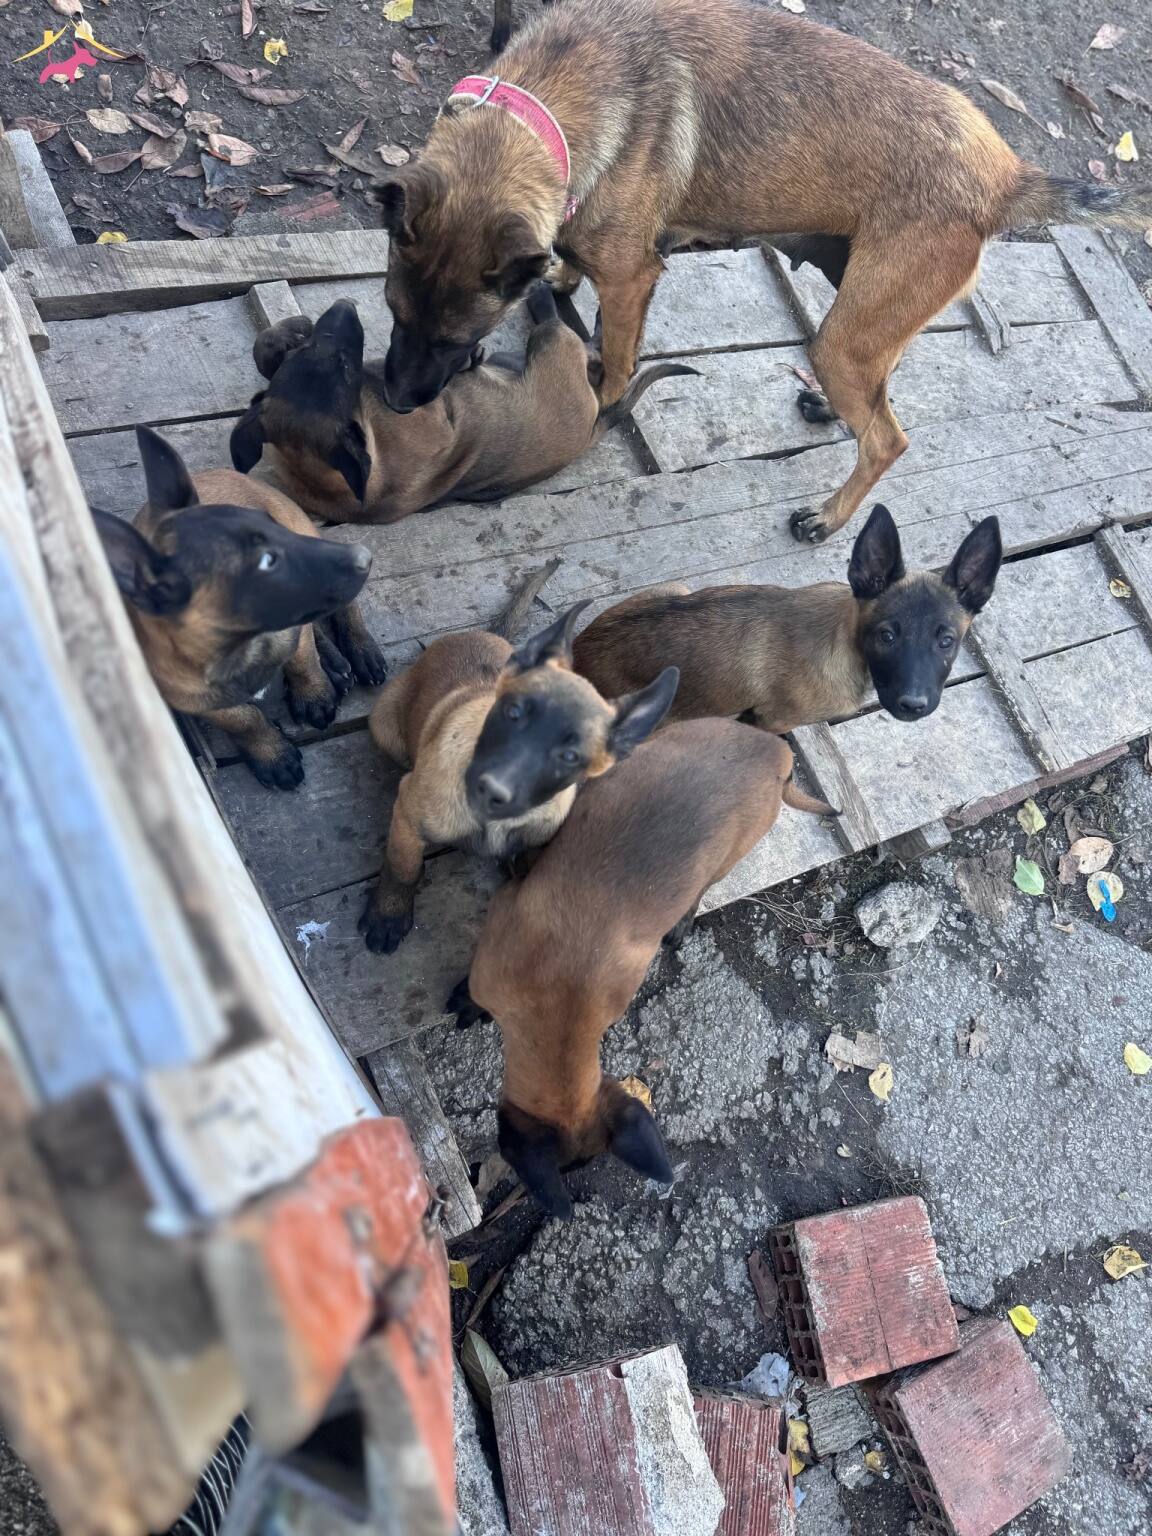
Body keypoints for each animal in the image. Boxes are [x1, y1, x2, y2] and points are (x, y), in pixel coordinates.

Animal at [93, 426, 385, 789]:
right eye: (265, 561)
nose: (363, 558)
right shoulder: (196, 700)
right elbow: (243, 719)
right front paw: (271, 754)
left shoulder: (293, 630)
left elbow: (303, 662)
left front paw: (314, 696)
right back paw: (336, 664)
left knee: (339, 613)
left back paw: (360, 653)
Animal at [229, 290, 694, 524]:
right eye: (342, 364)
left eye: (328, 353)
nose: (343, 308)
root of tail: (592, 428)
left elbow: (263, 355)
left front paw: (283, 336)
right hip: (551, 344)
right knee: (579, 343)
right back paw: (549, 301)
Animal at [361, 598, 678, 952]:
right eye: (512, 712)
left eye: (570, 756)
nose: (490, 790)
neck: (494, 823)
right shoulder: (407, 818)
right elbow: (402, 866)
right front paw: (388, 913)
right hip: (384, 727)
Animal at [370, 0, 1152, 546]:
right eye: (393, 313)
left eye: (456, 339)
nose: (397, 404)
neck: (546, 107)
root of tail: (1006, 175)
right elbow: (562, 266)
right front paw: (558, 283)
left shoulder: (631, 280)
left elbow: (617, 361)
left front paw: (604, 400)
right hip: (862, 308)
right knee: (883, 389)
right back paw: (831, 412)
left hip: (847, 334)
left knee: (888, 439)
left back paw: (828, 518)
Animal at [573, 506, 1002, 731]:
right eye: (887, 636)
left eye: (946, 641)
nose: (914, 705)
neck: (844, 644)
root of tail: (578, 651)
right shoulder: (774, 721)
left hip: (676, 589)